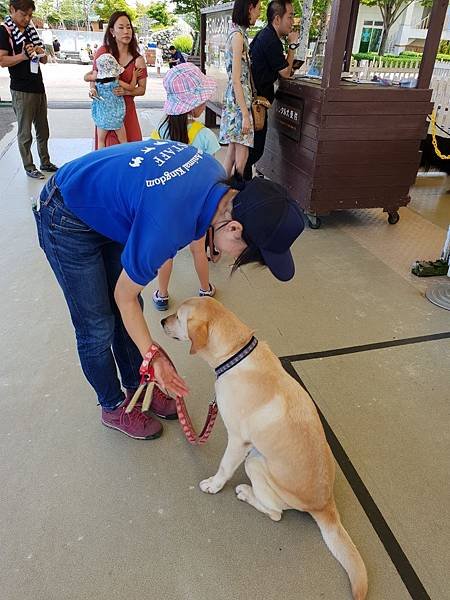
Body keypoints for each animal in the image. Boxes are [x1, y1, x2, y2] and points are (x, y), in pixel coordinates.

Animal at [163, 298, 368, 596]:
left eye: (177, 317)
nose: (161, 321)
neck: (235, 354)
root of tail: (326, 507)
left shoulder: (238, 440)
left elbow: (224, 467)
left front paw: (213, 485)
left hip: (255, 463)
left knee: (274, 513)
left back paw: (245, 493)